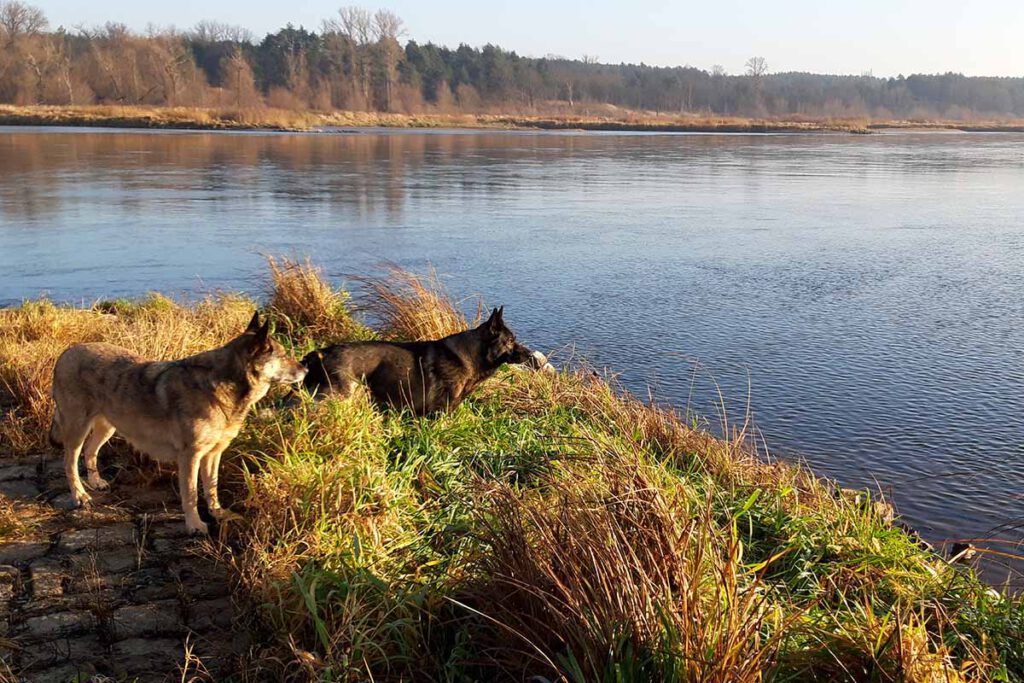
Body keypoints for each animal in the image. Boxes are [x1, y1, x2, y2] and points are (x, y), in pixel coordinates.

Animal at [49, 313, 303, 532]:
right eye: (283, 356)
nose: (306, 368)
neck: (221, 386)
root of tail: (66, 353)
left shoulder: (213, 454)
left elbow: (212, 488)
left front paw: (218, 513)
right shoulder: (190, 456)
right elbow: (191, 494)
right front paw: (195, 525)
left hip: (108, 426)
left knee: (90, 451)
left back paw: (96, 481)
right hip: (78, 429)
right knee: (69, 463)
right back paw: (80, 495)